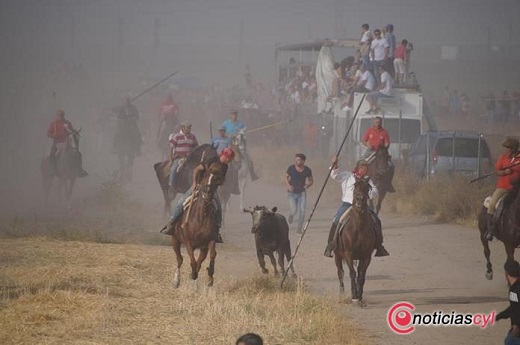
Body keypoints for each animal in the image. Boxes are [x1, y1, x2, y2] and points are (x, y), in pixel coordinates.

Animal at [336, 177, 376, 306]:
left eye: (367, 187)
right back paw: (342, 294)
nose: (359, 200)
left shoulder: (367, 256)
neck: (359, 228)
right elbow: (352, 273)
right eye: (354, 185)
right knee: (340, 272)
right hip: (337, 256)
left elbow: (361, 275)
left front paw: (359, 296)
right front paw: (354, 296)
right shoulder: (348, 254)